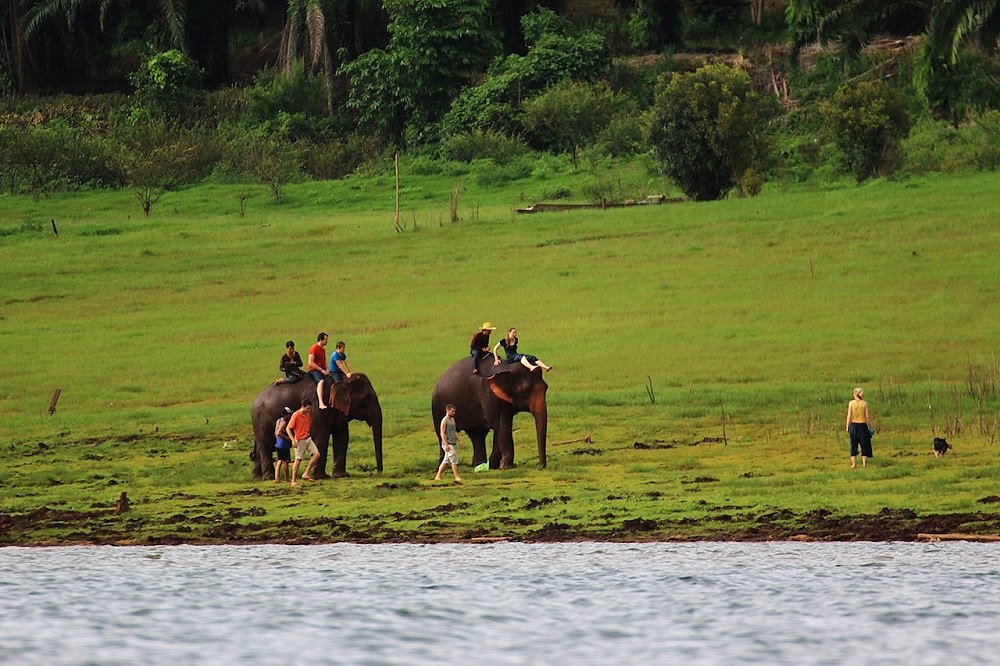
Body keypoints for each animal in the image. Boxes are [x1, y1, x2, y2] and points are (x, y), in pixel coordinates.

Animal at [250, 374, 382, 478]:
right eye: (367, 398)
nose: (378, 472)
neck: (343, 379)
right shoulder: (318, 408)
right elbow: (322, 437)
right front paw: (321, 477)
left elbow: (342, 438)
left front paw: (341, 475)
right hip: (261, 419)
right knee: (265, 445)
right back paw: (268, 477)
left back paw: (257, 477)